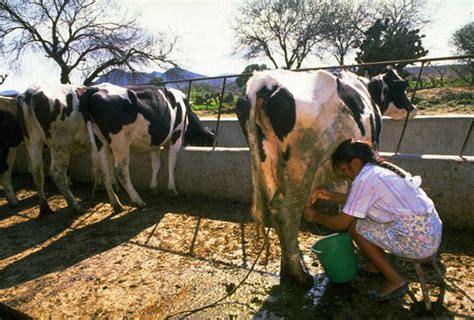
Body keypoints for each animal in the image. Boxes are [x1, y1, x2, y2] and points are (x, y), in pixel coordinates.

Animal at [80, 83, 215, 212]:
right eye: (209, 141)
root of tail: (94, 89)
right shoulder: (176, 136)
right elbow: (172, 162)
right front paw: (172, 189)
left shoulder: (155, 143)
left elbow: (156, 164)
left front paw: (153, 187)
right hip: (120, 141)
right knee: (121, 171)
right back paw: (138, 201)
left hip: (99, 140)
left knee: (105, 171)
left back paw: (116, 204)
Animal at [236, 67, 414, 288]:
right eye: (402, 86)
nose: (413, 107)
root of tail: (264, 82)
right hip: (302, 166)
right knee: (288, 214)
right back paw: (300, 276)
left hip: (267, 164)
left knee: (276, 211)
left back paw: (286, 270)